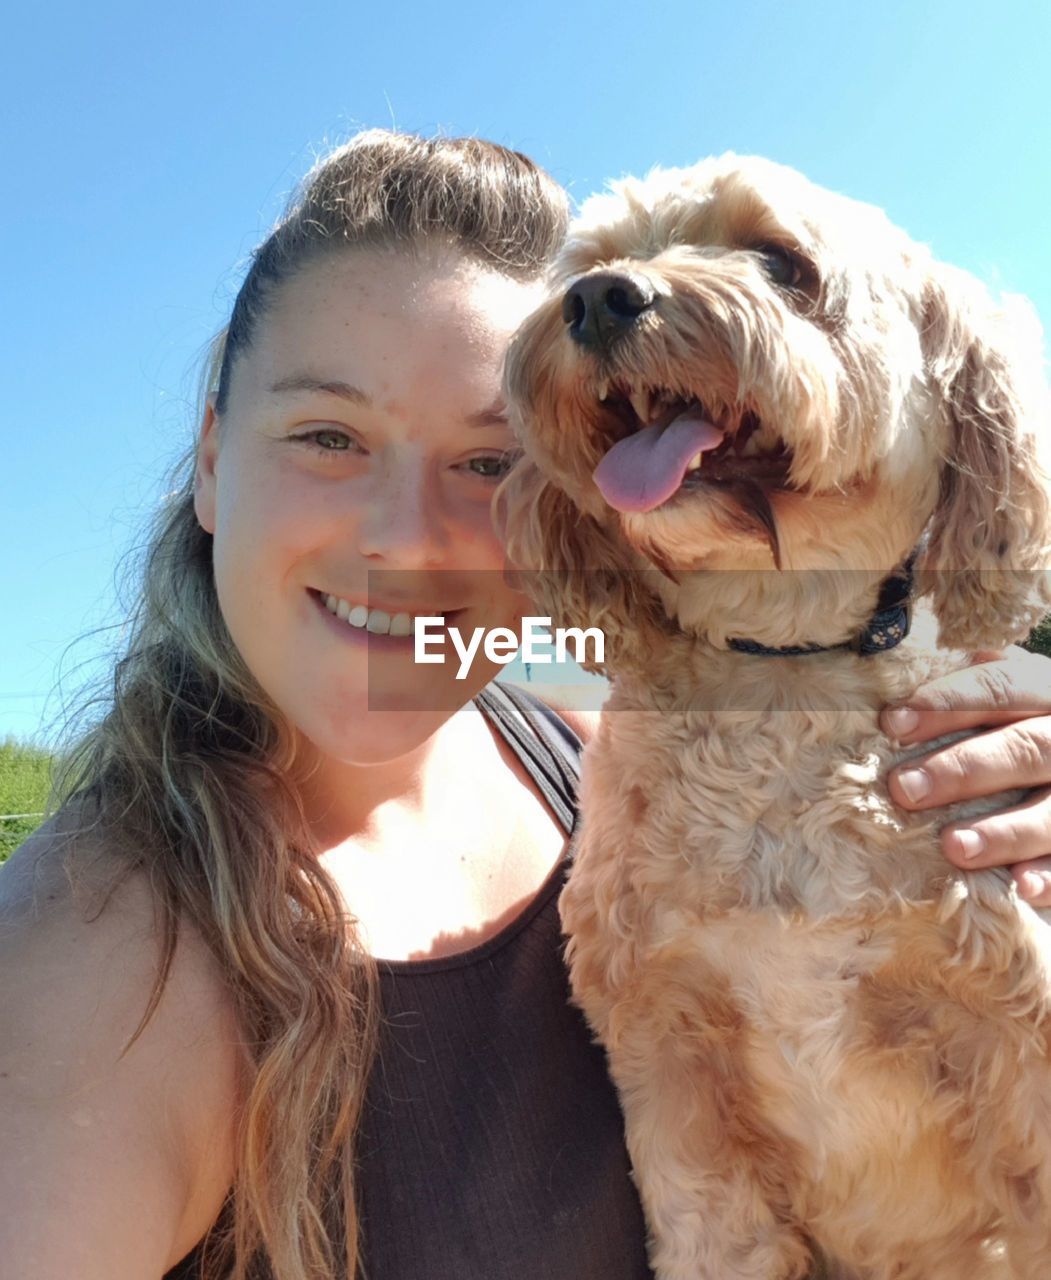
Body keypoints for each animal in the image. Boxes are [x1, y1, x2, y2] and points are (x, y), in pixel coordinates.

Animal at [496, 157, 1049, 1280]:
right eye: (590, 261)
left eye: (780, 260)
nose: (599, 299)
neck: (778, 667)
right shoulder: (670, 1070)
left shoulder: (1013, 1023)